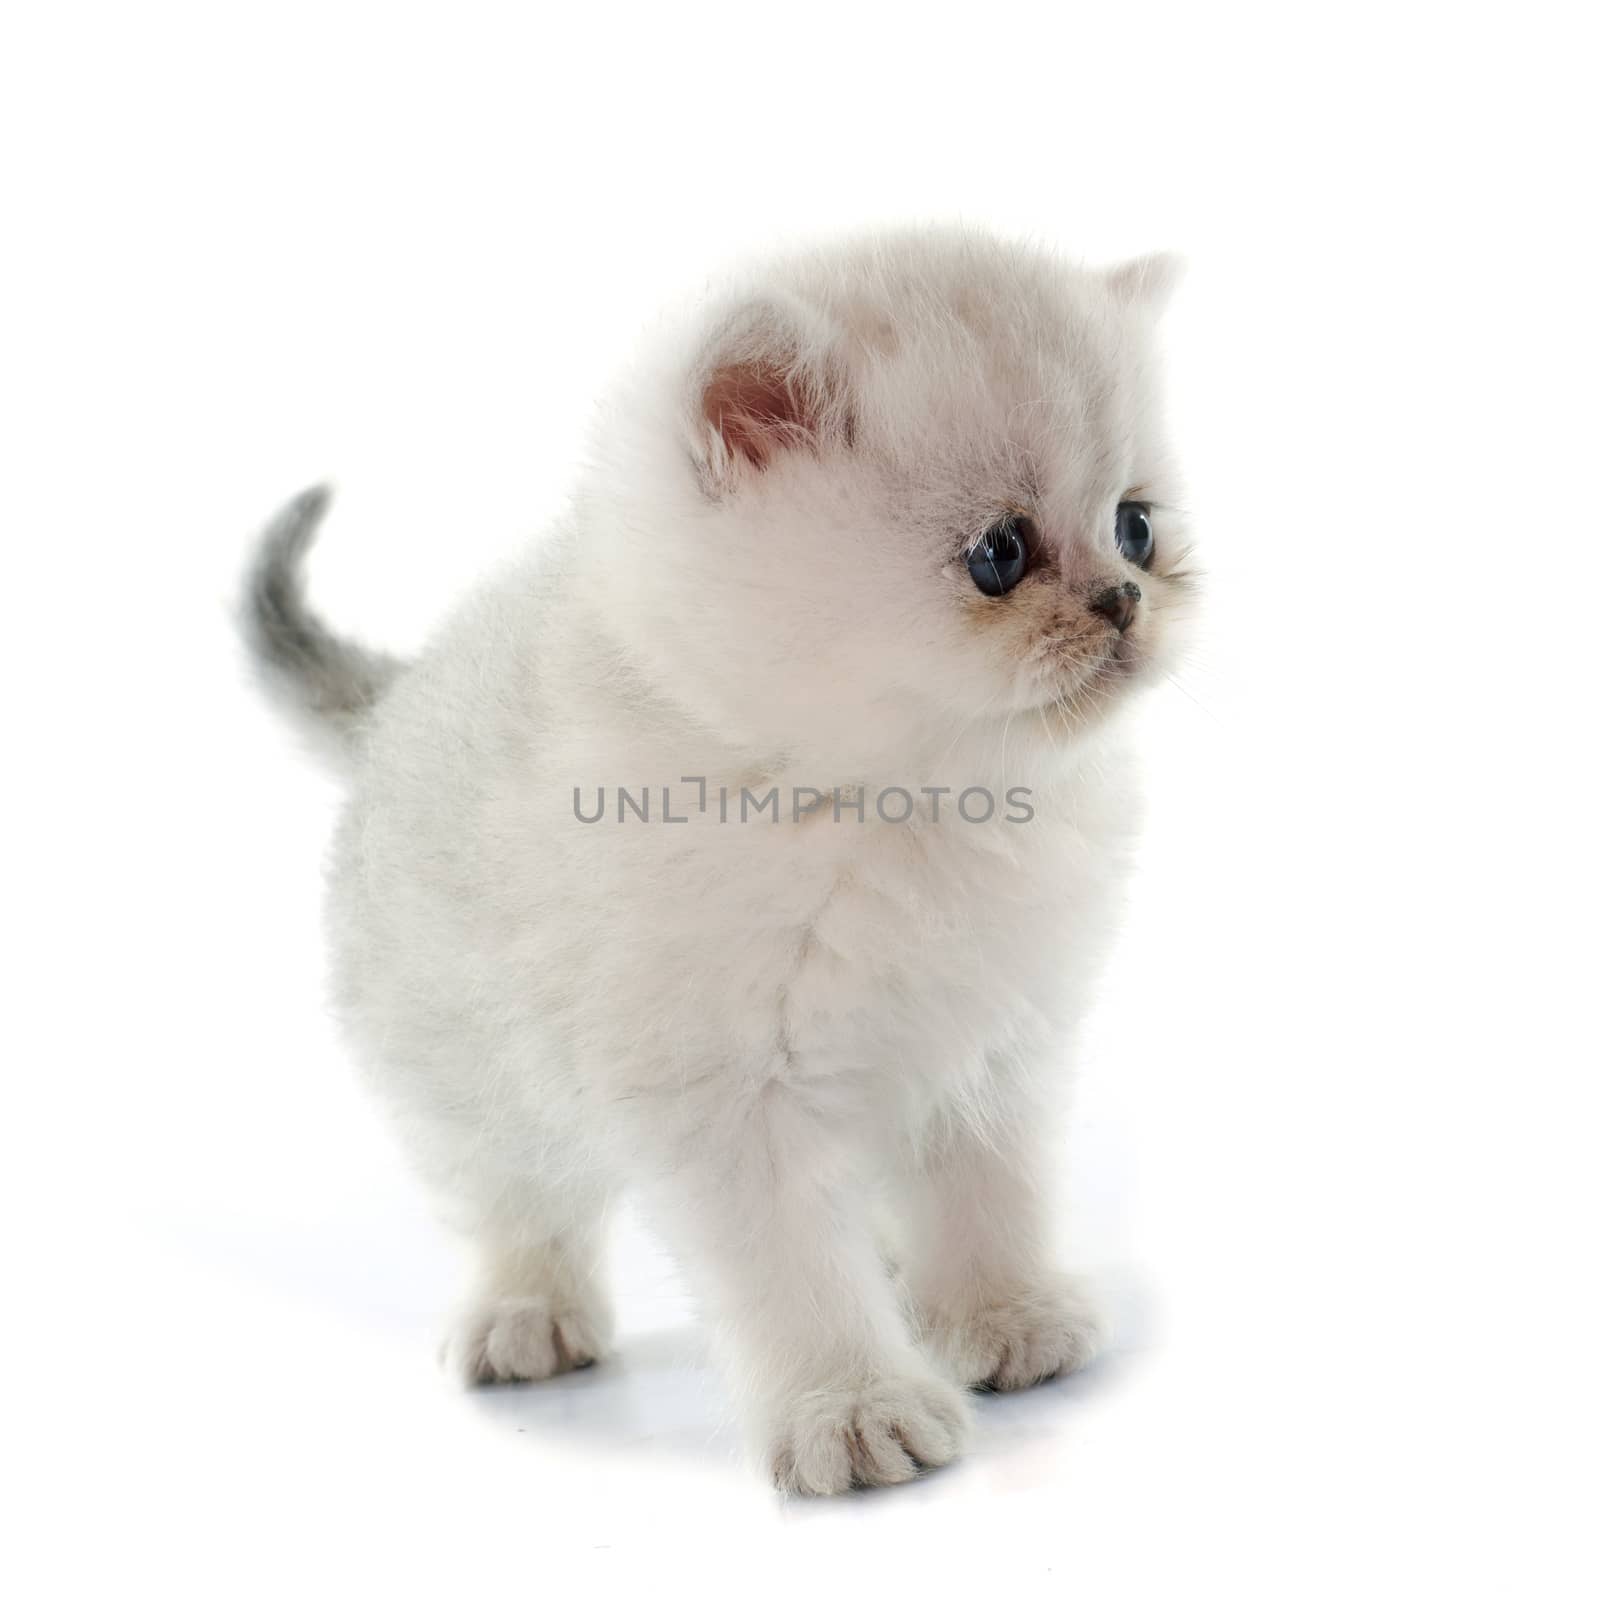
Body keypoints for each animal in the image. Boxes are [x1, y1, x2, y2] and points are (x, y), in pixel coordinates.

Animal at [240, 228, 1190, 1497]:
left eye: (1136, 526)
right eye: (998, 553)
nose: (1124, 599)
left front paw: (1003, 1316)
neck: (900, 805)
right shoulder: (725, 1099)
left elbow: (989, 1201)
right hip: (461, 1068)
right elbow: (792, 1273)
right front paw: (855, 1407)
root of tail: (396, 700)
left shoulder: (995, 1054)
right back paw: (523, 1317)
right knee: (515, 1203)